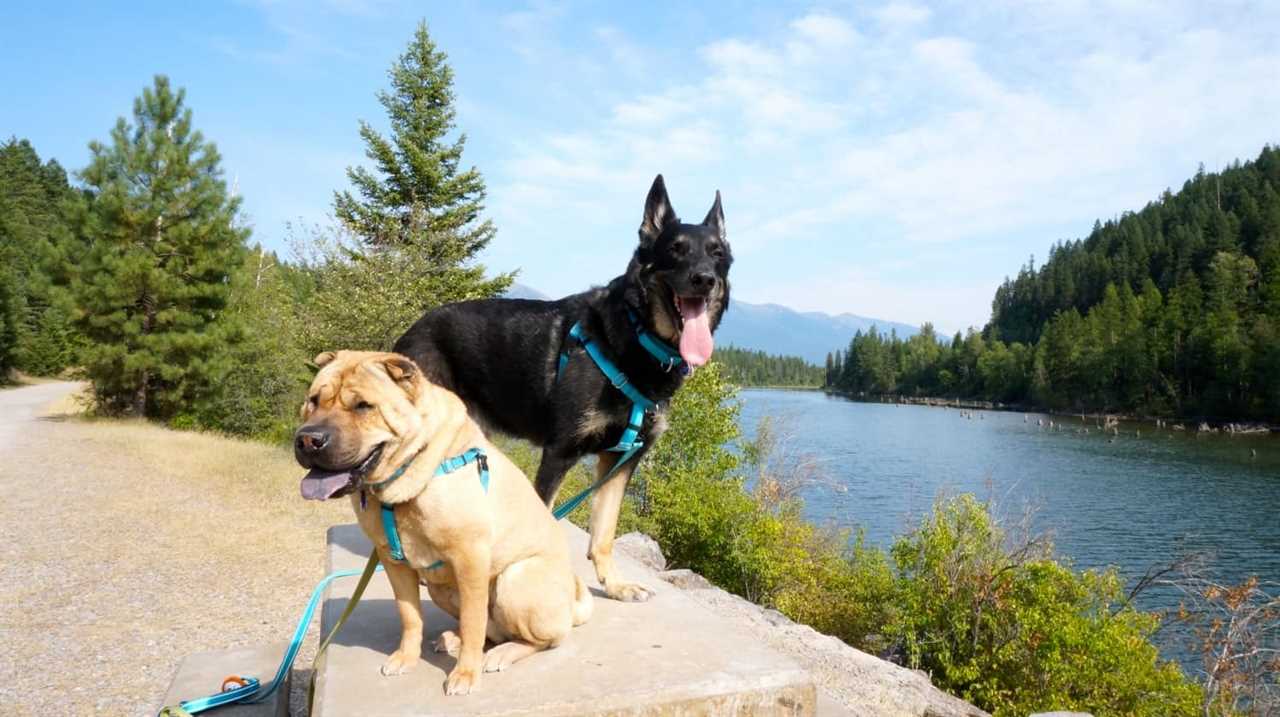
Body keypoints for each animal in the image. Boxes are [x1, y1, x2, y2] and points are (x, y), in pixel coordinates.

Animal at [294, 350, 588, 696]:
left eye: (363, 406)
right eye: (314, 400)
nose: (308, 440)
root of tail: (572, 606)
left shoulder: (470, 559)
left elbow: (473, 622)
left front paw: (465, 674)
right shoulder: (392, 561)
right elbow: (410, 615)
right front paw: (406, 657)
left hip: (516, 580)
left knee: (543, 639)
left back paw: (500, 653)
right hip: (439, 588)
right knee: (491, 630)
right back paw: (454, 640)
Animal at [389, 176, 732, 601]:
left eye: (717, 254)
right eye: (675, 250)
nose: (705, 279)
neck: (634, 337)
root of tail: (412, 330)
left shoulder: (620, 462)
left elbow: (604, 533)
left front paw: (614, 585)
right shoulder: (559, 454)